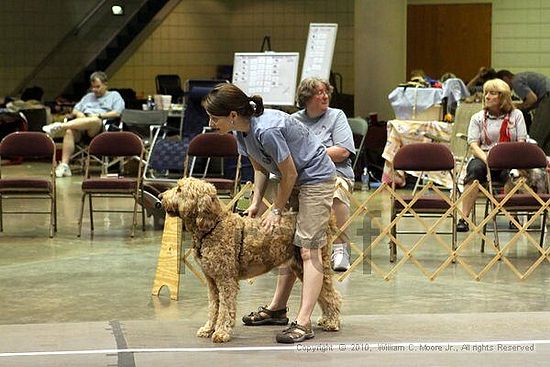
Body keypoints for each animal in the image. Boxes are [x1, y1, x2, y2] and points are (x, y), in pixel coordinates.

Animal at [160, 178, 340, 344]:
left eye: (179, 190)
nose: (161, 196)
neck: (212, 226)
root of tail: (328, 221)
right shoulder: (211, 280)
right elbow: (213, 307)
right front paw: (208, 328)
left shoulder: (226, 280)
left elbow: (225, 308)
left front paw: (221, 332)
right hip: (297, 265)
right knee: (323, 293)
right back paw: (325, 319)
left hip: (313, 261)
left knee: (331, 293)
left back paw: (332, 322)